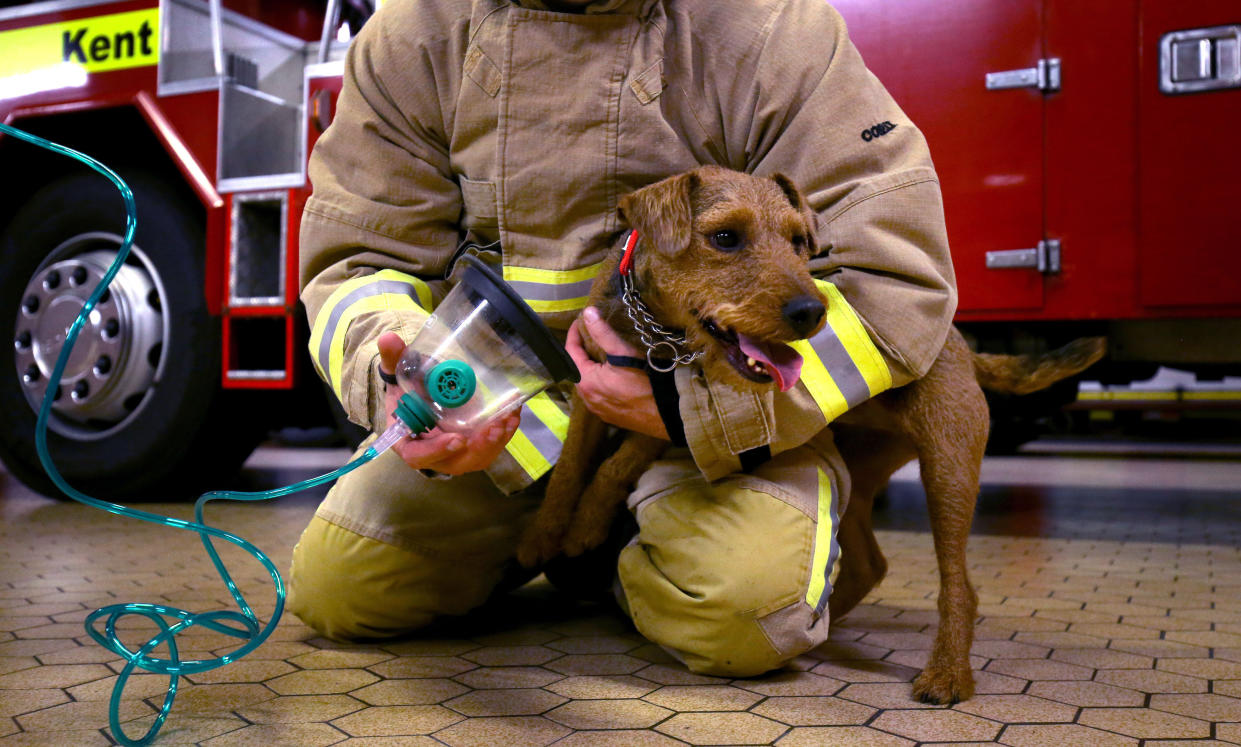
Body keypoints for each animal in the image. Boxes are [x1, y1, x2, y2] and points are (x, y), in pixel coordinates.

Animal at [516, 166, 1106, 699]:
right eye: (725, 237)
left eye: (800, 240)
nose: (811, 312)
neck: (654, 336)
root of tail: (954, 338)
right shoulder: (590, 386)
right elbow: (570, 467)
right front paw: (545, 535)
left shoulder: (667, 412)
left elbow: (618, 461)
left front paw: (585, 527)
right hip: (862, 473)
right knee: (869, 562)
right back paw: (823, 630)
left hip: (950, 466)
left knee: (959, 584)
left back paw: (946, 675)